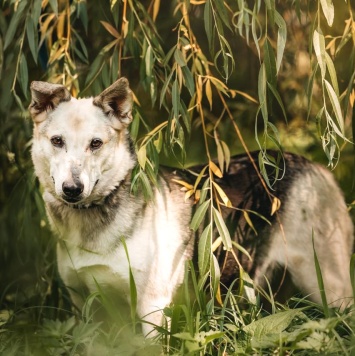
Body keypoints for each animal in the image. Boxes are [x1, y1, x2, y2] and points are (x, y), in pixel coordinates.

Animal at [29, 78, 354, 336]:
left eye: (96, 144)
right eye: (57, 141)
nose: (72, 189)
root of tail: (315, 167)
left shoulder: (152, 308)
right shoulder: (83, 304)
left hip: (329, 285)